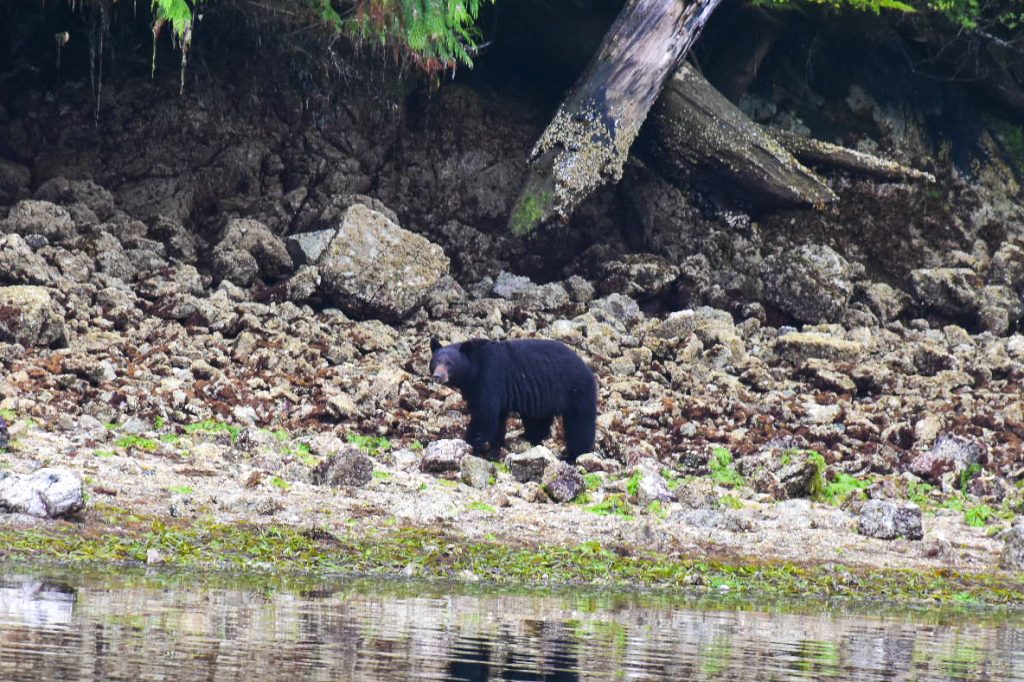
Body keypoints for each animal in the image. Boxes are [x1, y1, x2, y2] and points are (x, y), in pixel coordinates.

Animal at [429, 337, 597, 462]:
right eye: (436, 361)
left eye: (449, 364)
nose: (438, 376)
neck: (475, 368)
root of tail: (587, 368)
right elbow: (497, 419)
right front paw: (494, 448)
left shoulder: (489, 378)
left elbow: (485, 415)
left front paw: (469, 444)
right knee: (537, 422)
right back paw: (527, 437)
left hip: (576, 391)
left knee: (580, 424)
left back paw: (574, 454)